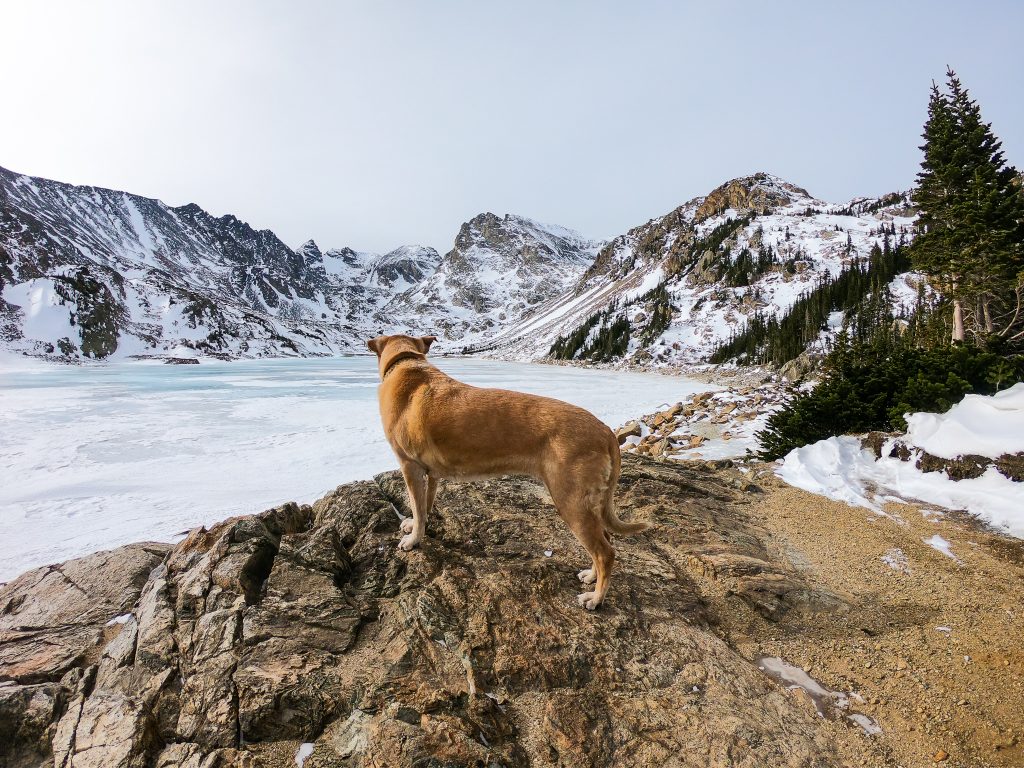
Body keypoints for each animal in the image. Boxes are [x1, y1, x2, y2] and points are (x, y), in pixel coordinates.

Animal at [368, 333, 647, 610]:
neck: (405, 361)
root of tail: (606, 431)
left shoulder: (409, 466)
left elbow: (416, 506)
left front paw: (413, 539)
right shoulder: (431, 474)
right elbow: (424, 506)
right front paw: (417, 524)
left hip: (571, 502)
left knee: (605, 552)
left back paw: (596, 598)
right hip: (590, 503)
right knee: (605, 540)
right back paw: (591, 576)